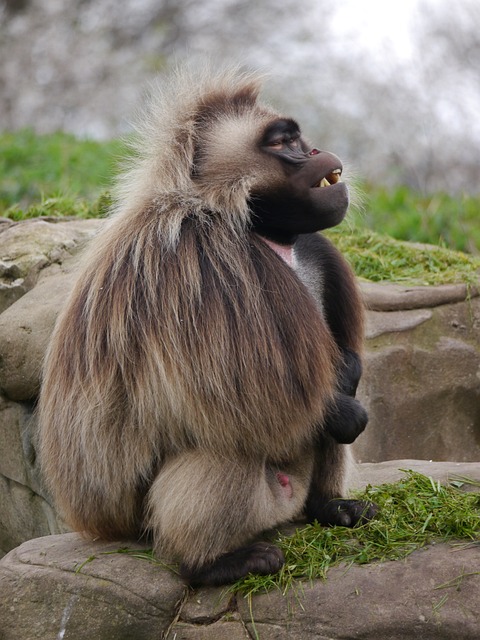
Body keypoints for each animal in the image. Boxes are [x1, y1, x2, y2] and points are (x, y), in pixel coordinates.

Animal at [38, 66, 376, 588]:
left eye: (298, 138)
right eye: (283, 142)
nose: (317, 151)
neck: (256, 226)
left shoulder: (312, 247)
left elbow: (340, 370)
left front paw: (350, 376)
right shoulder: (199, 260)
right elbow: (250, 395)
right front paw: (343, 410)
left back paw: (330, 508)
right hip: (168, 516)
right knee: (228, 434)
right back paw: (212, 563)